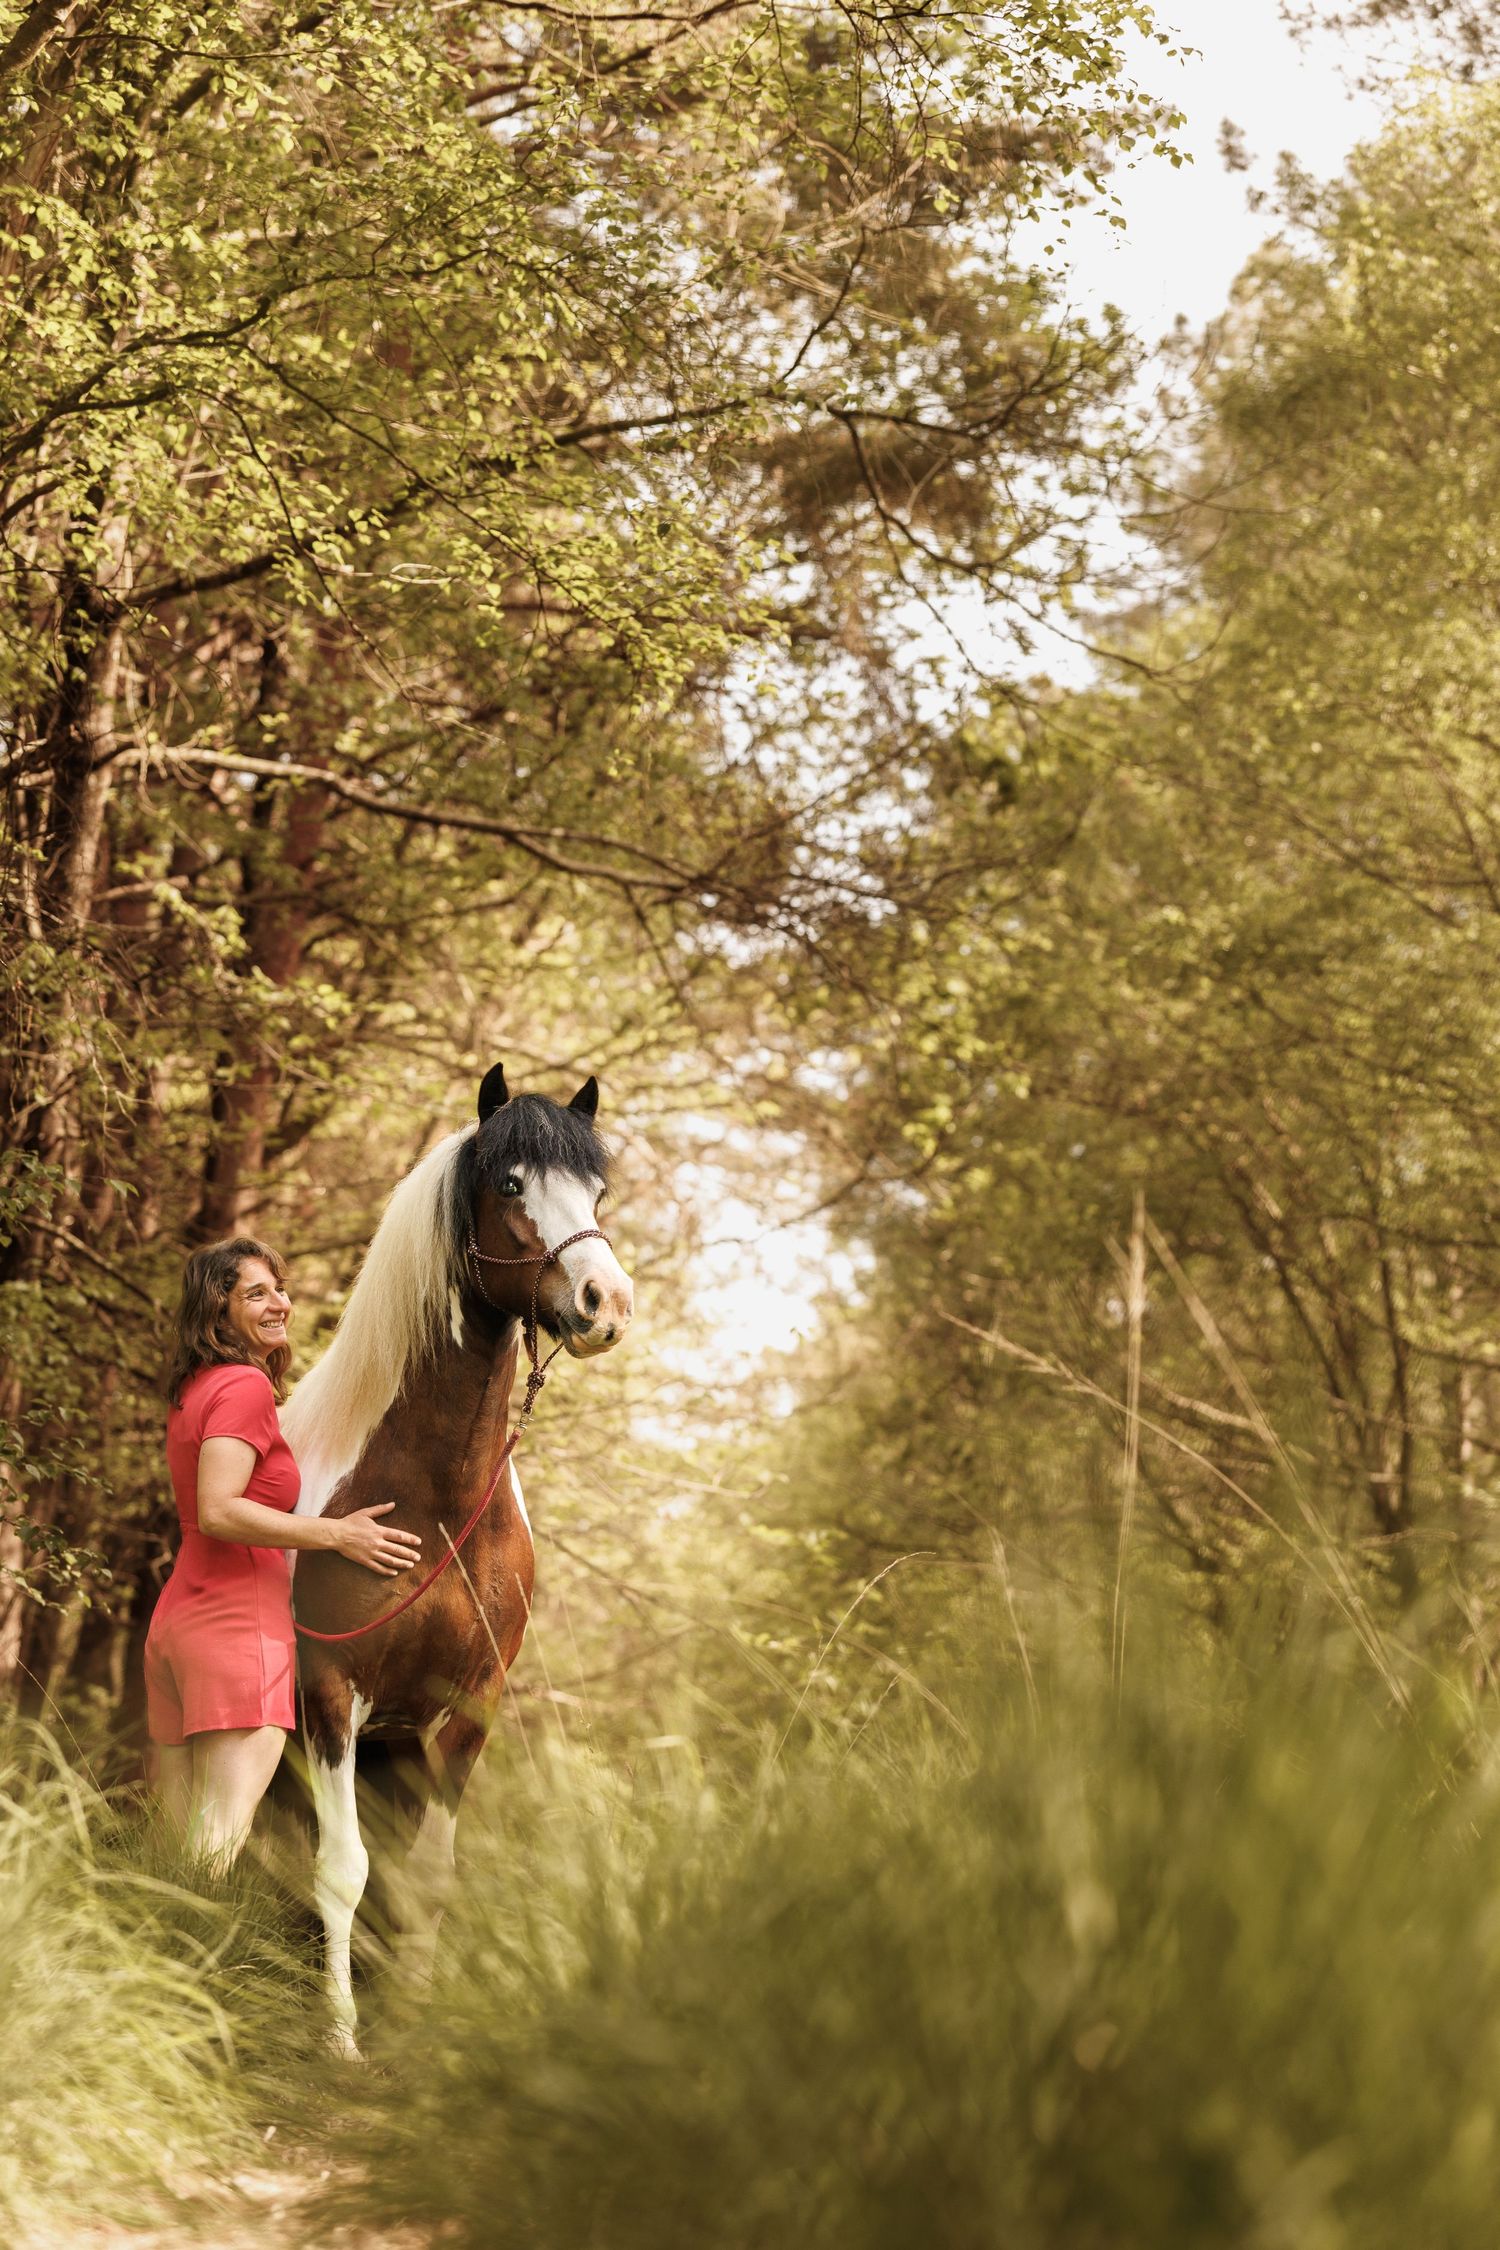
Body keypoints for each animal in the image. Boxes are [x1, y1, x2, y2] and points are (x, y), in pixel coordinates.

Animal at [280, 1062, 633, 2052]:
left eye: (599, 1193)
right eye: (510, 1184)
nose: (606, 1304)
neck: (437, 1499)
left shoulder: (468, 1704)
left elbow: (424, 1877)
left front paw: (412, 2025)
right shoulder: (330, 1693)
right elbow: (343, 1867)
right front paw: (341, 2037)